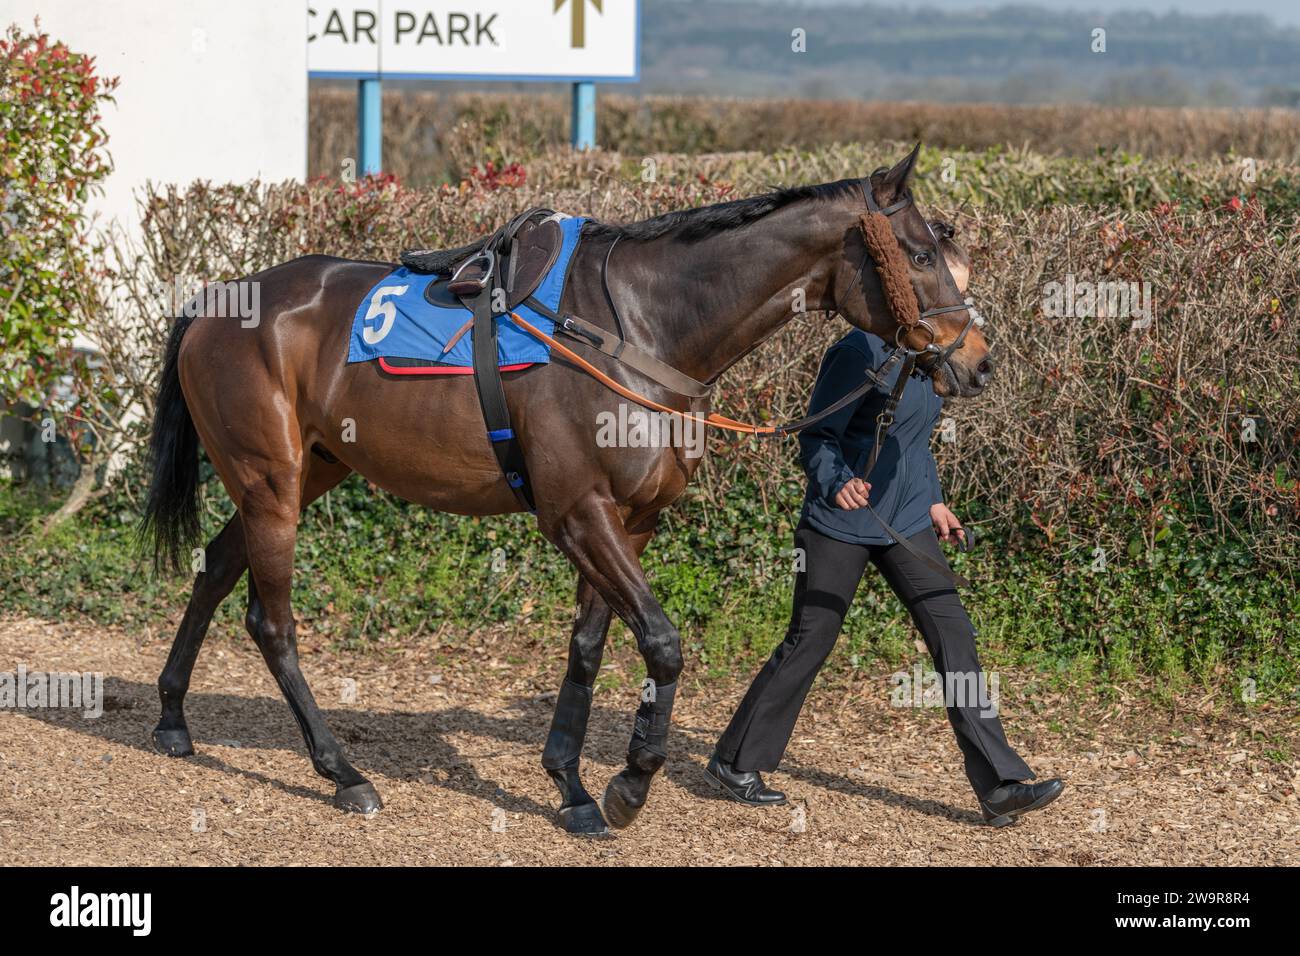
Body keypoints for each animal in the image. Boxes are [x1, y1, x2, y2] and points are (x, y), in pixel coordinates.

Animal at [142, 145, 987, 832]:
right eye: (918, 252)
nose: (978, 361)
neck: (637, 329)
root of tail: (220, 299)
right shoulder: (577, 513)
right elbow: (662, 643)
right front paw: (630, 784)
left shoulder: (630, 519)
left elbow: (588, 645)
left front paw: (572, 785)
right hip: (271, 480)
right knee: (271, 621)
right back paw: (342, 773)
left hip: (308, 470)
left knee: (215, 567)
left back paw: (173, 716)